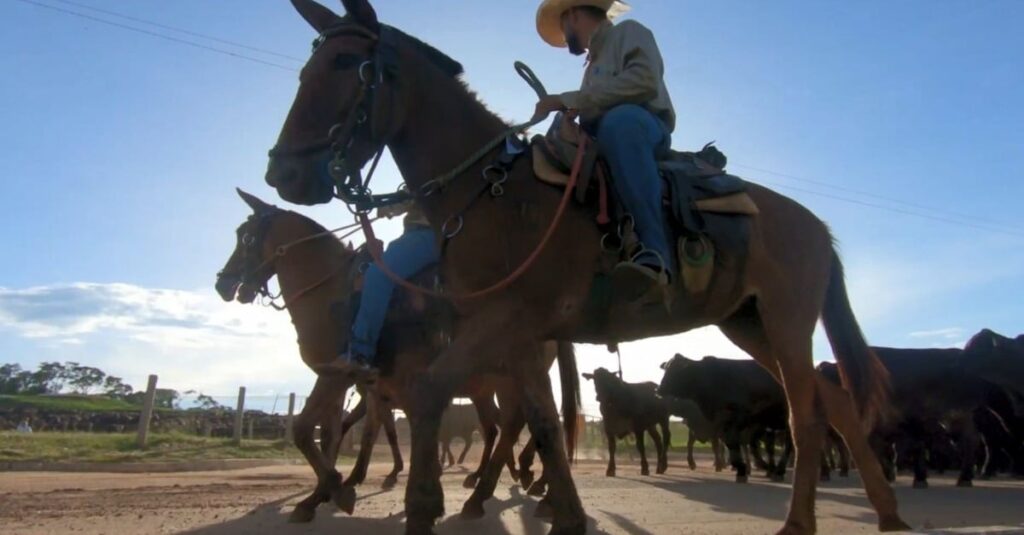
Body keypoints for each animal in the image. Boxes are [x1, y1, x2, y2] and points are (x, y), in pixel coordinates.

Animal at [655, 352, 790, 481]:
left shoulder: (741, 419)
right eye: (666, 368)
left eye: (675, 370)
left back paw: (777, 470)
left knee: (787, 445)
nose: (658, 390)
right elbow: (730, 444)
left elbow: (738, 443)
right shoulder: (720, 424)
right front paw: (741, 469)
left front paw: (744, 468)